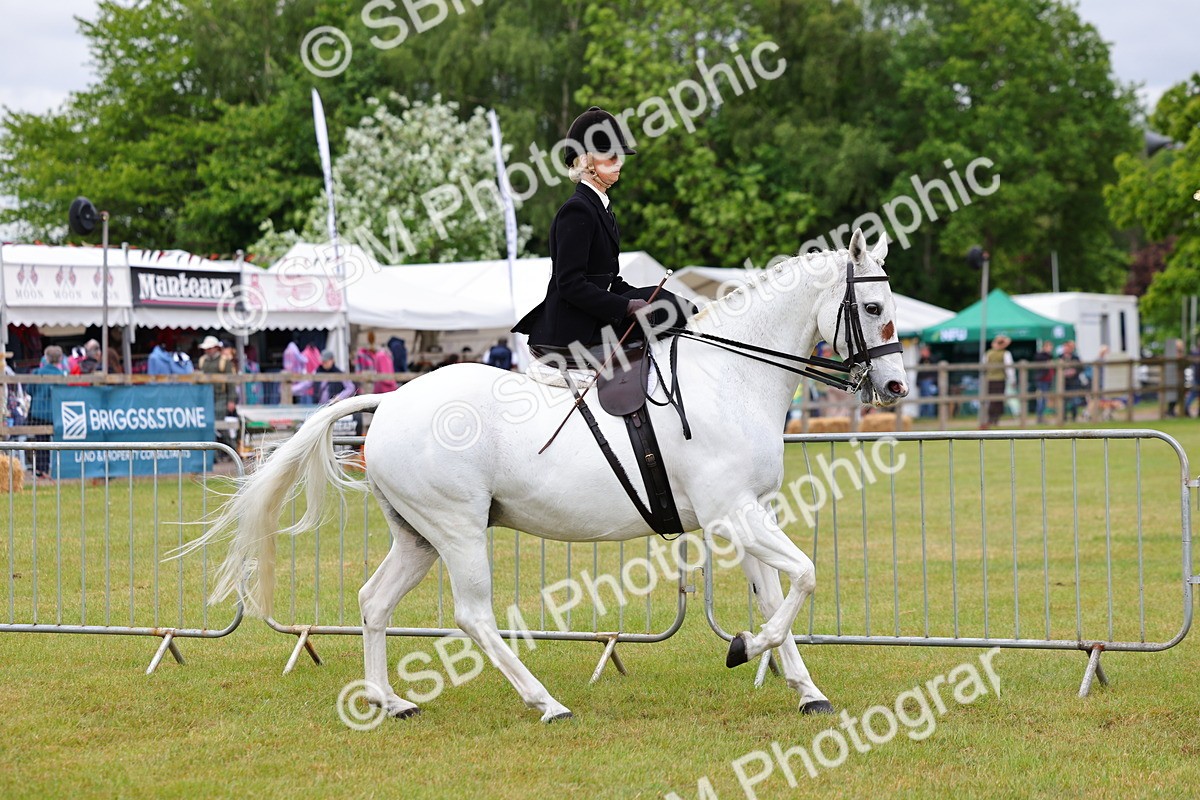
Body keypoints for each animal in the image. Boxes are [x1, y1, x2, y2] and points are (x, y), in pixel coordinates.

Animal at [192, 228, 908, 722]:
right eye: (873, 308)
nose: (897, 386)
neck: (730, 377)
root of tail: (390, 402)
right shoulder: (734, 512)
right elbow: (805, 575)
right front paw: (745, 650)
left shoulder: (747, 510)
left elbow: (775, 593)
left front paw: (798, 683)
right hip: (458, 530)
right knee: (473, 615)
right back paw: (547, 702)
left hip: (418, 535)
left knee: (374, 602)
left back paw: (392, 702)